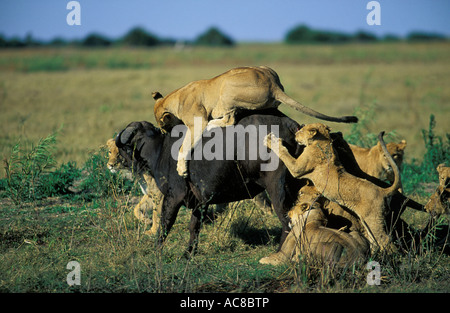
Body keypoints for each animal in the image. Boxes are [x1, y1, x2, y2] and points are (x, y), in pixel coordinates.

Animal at [153, 65, 356, 176]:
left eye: (162, 126)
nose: (163, 132)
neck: (174, 98)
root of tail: (273, 84)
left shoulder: (197, 121)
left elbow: (183, 147)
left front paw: (181, 169)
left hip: (226, 89)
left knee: (229, 119)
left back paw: (212, 123)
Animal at [264, 123, 400, 252]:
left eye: (301, 131)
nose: (296, 135)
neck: (323, 142)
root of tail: (382, 190)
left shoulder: (297, 168)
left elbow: (284, 153)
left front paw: (271, 140)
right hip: (367, 221)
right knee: (374, 239)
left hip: (373, 218)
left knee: (385, 240)